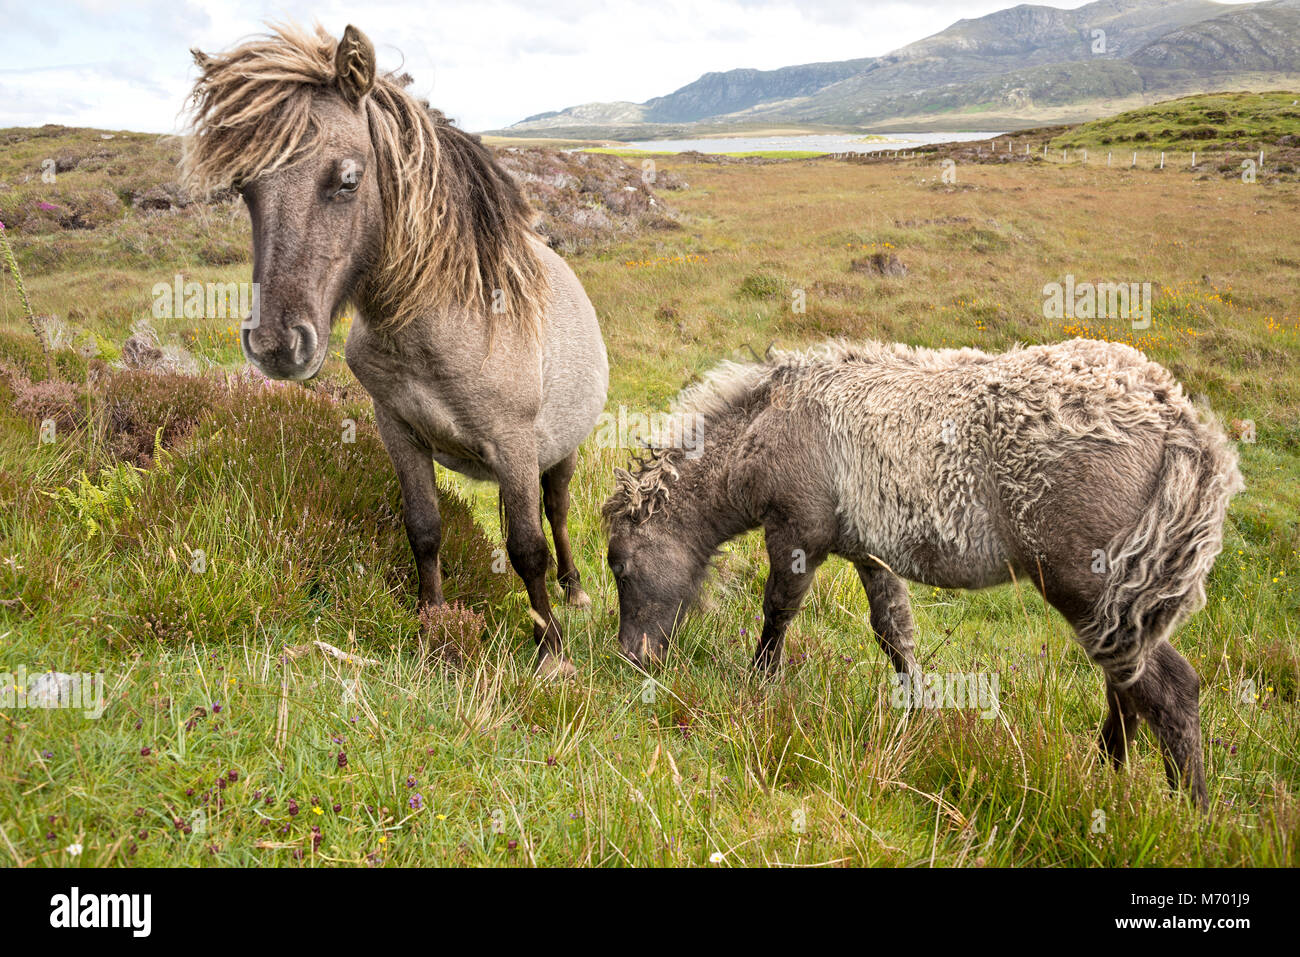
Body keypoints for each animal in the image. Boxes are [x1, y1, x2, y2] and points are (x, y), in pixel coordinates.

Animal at [183, 24, 608, 681]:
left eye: (348, 180)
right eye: (242, 187)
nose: (278, 346)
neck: (440, 326)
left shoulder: (514, 444)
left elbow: (527, 549)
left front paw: (552, 652)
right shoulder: (399, 431)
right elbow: (424, 529)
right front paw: (433, 626)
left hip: (560, 450)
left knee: (557, 512)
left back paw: (575, 590)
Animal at [603, 340, 1242, 806]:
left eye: (619, 565)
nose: (631, 657)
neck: (771, 422)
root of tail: (1179, 422)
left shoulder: (794, 536)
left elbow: (778, 611)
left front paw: (758, 685)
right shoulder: (869, 553)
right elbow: (894, 632)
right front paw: (918, 713)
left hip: (1087, 592)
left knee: (1168, 690)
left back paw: (1189, 812)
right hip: (1114, 604)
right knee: (1126, 685)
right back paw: (1106, 774)